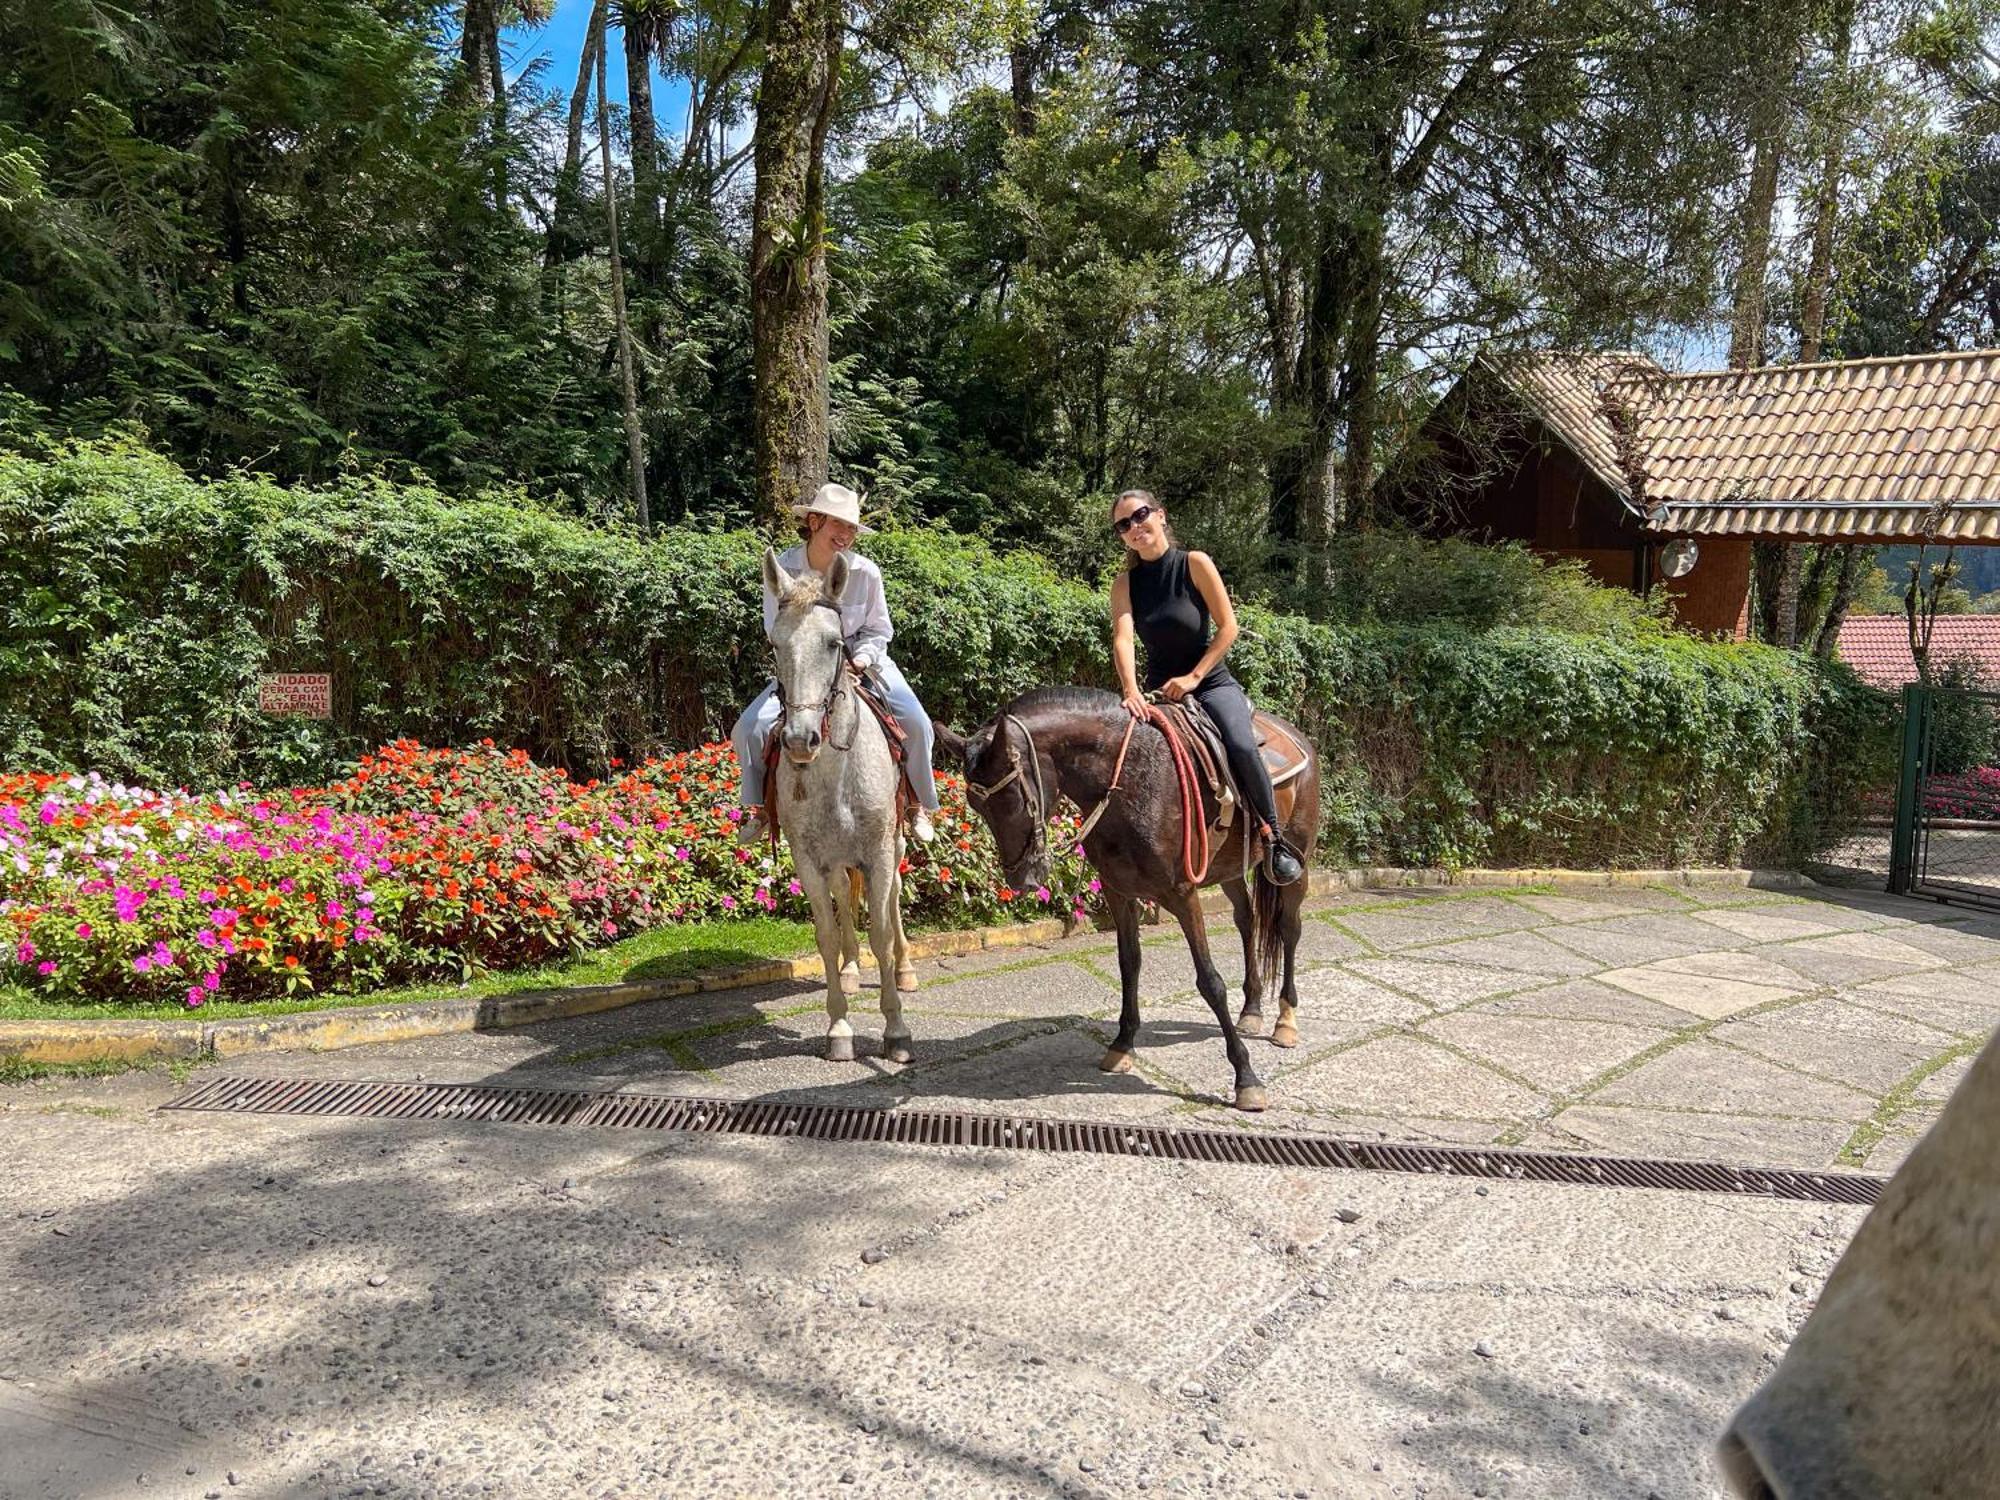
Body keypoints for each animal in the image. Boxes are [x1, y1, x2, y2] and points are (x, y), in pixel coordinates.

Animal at [764, 548, 920, 1064]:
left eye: (834, 643)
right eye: (775, 644)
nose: (799, 739)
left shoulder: (879, 853)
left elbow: (882, 933)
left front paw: (896, 1030)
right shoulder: (809, 861)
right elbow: (828, 936)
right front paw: (839, 1027)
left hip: (896, 844)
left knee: (893, 902)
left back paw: (906, 969)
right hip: (836, 861)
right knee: (845, 906)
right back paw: (852, 971)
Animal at [932, 688, 1320, 1112]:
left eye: (1014, 797)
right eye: (977, 805)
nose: (1023, 878)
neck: (1128, 780)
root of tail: (1297, 736)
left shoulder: (1182, 893)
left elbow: (1211, 982)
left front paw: (1246, 1079)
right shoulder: (1118, 891)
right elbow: (1129, 965)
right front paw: (1122, 1044)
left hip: (1296, 860)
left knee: (1288, 928)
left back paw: (1286, 1021)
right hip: (1231, 869)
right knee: (1247, 921)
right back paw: (1251, 1010)